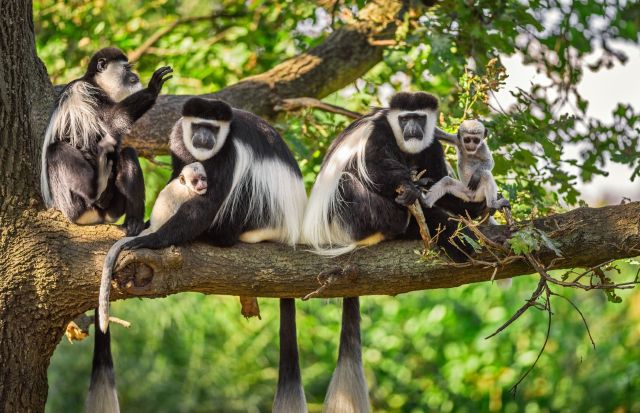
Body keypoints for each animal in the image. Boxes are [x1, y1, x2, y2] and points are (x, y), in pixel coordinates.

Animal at [40, 47, 173, 236]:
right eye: (127, 68)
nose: (135, 76)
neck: (97, 83)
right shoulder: (85, 92)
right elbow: (112, 121)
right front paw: (152, 88)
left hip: (113, 209)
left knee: (127, 153)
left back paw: (133, 222)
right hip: (71, 203)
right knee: (57, 149)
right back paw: (96, 191)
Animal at [301, 91, 489, 413]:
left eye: (419, 118)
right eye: (404, 119)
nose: (412, 129)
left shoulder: (431, 144)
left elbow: (438, 178)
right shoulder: (378, 133)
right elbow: (375, 167)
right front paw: (412, 188)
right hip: (346, 218)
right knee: (349, 182)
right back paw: (408, 220)